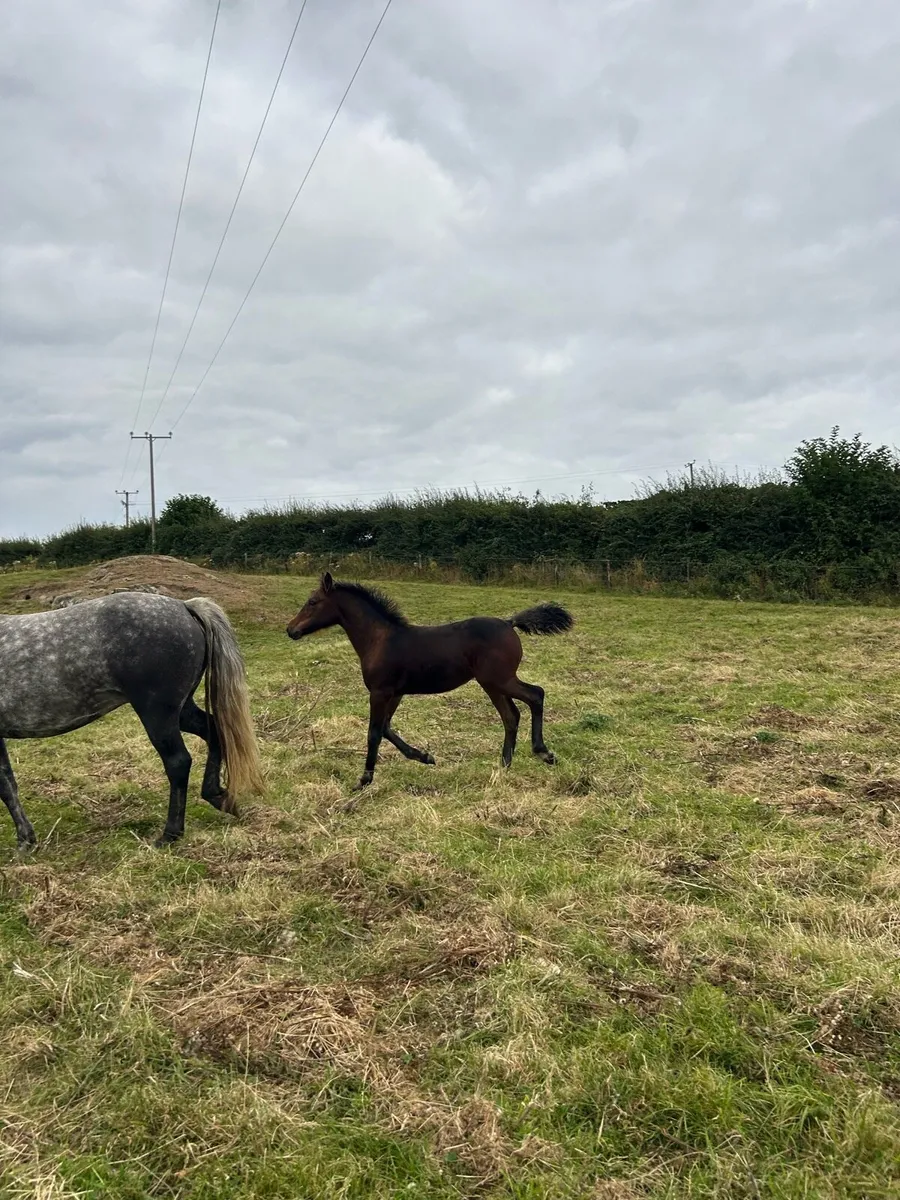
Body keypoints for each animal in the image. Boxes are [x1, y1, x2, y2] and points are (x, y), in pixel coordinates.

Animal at [0, 592, 263, 849]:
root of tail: (183, 606)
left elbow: (5, 788)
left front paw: (24, 841)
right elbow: (9, 783)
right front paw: (27, 839)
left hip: (157, 715)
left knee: (178, 762)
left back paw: (170, 834)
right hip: (181, 711)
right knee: (215, 733)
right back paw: (218, 796)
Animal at [286, 573, 573, 791]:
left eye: (312, 601)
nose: (291, 630)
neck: (379, 640)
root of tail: (509, 622)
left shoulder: (379, 692)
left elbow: (374, 732)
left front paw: (364, 780)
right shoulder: (395, 693)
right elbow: (387, 728)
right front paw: (425, 757)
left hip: (499, 679)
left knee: (536, 695)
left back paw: (543, 752)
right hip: (491, 684)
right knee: (511, 716)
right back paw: (503, 767)